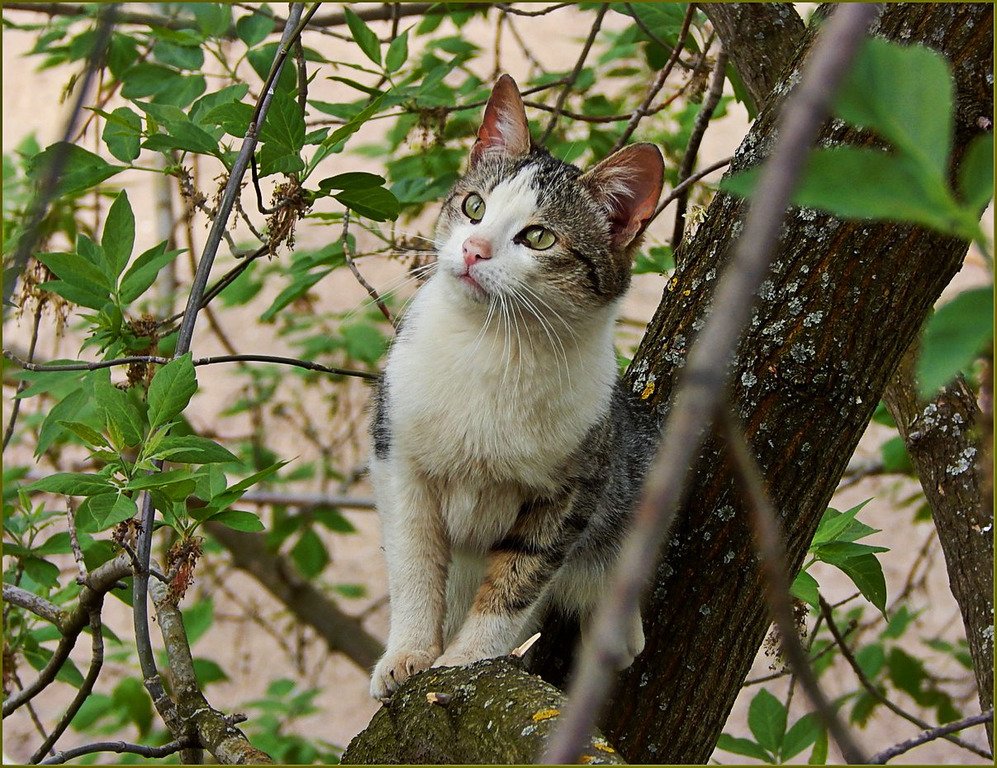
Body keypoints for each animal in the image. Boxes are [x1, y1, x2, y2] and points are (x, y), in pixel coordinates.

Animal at [366, 75, 660, 700]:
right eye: (473, 206)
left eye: (539, 237)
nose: (472, 250)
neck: (493, 344)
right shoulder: (397, 454)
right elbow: (414, 561)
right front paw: (409, 654)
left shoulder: (574, 490)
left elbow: (516, 582)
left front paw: (465, 662)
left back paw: (618, 629)